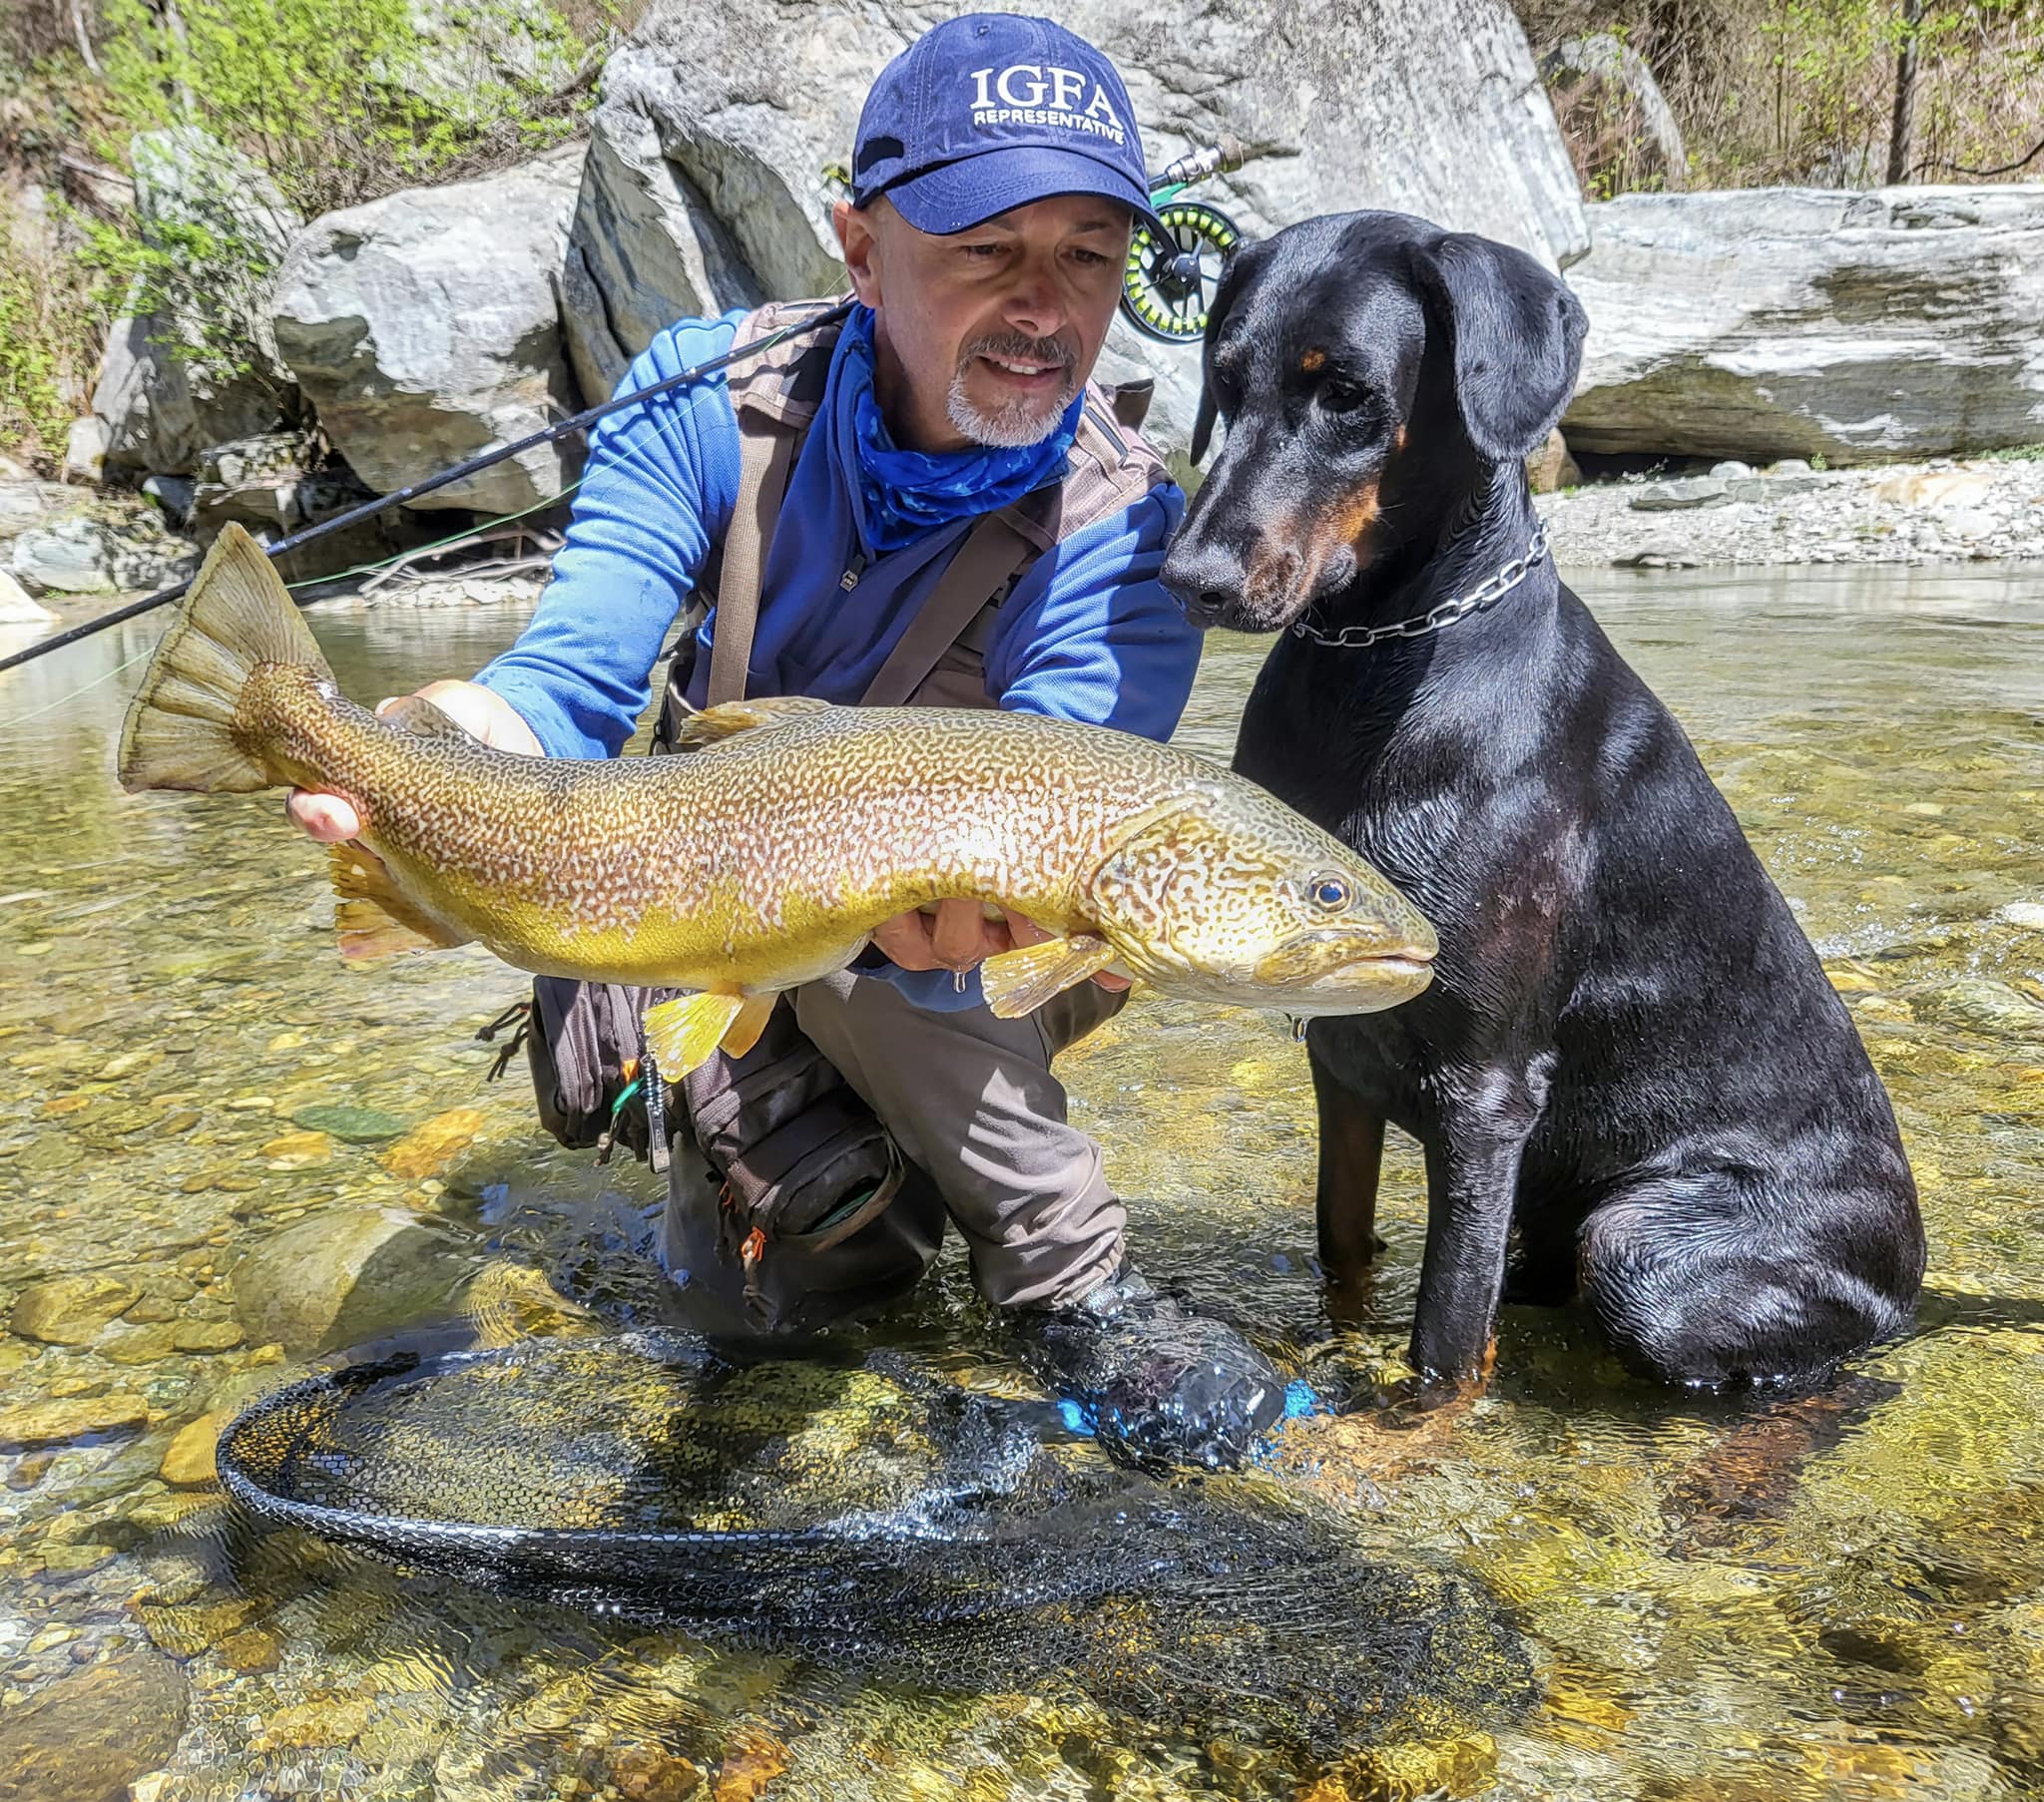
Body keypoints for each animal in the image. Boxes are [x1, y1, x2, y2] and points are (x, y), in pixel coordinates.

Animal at [1161, 215, 1921, 1389]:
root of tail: (1917, 1278)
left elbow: (1441, 1352)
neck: (1371, 666)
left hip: (1645, 1242)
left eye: (1346, 393)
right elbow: (1343, 1253)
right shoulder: (1339, 1057)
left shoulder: (1485, 1093)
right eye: (1224, 379)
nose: (1185, 576)